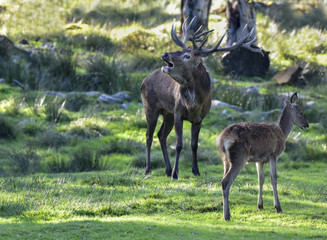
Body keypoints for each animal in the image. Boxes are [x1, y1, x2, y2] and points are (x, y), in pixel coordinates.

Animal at [141, 16, 262, 179]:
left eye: (187, 56)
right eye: (181, 50)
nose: (165, 54)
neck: (193, 105)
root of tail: (144, 80)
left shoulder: (199, 118)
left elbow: (194, 145)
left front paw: (196, 171)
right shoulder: (178, 112)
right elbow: (179, 144)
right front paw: (175, 173)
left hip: (168, 114)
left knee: (161, 135)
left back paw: (166, 169)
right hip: (150, 107)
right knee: (148, 136)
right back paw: (148, 169)